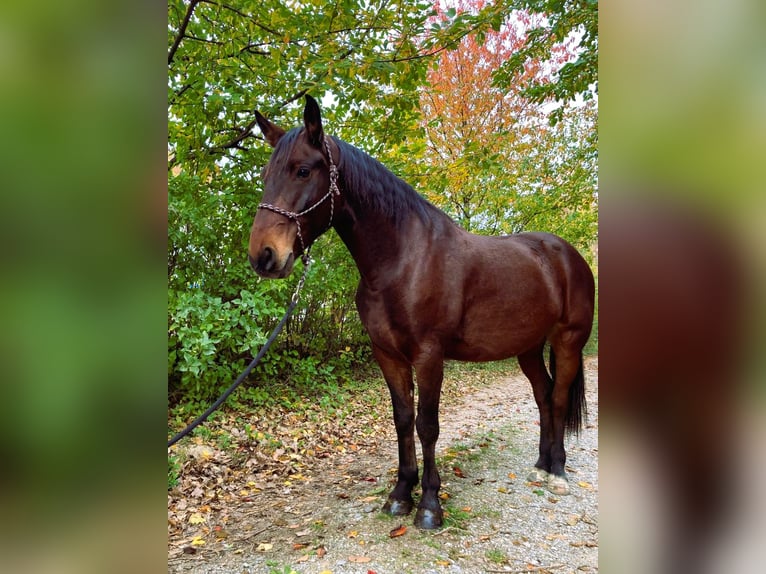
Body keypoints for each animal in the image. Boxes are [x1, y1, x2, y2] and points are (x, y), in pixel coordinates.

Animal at [249, 94, 596, 532]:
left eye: (303, 170)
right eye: (266, 173)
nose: (263, 256)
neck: (403, 259)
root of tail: (568, 255)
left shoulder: (429, 356)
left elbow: (427, 425)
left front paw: (430, 504)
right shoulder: (388, 355)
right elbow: (402, 420)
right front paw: (400, 494)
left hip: (568, 342)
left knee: (560, 397)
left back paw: (558, 474)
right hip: (529, 348)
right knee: (544, 395)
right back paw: (541, 465)